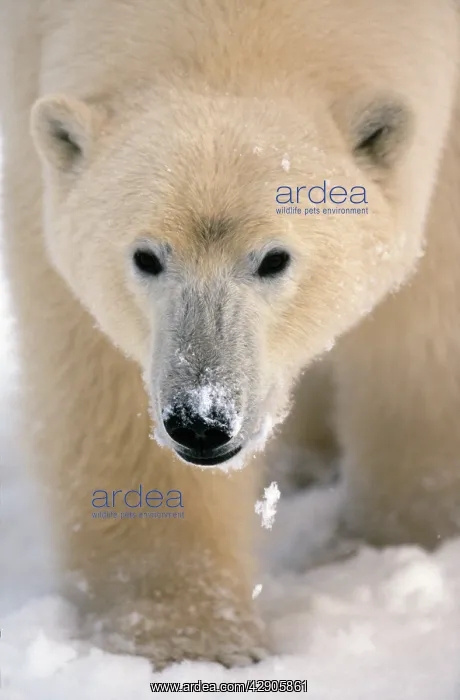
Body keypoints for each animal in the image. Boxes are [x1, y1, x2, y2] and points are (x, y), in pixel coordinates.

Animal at [2, 0, 460, 669]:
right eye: (145, 257)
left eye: (274, 258)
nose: (200, 422)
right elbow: (94, 362)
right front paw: (191, 638)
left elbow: (426, 313)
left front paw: (399, 539)